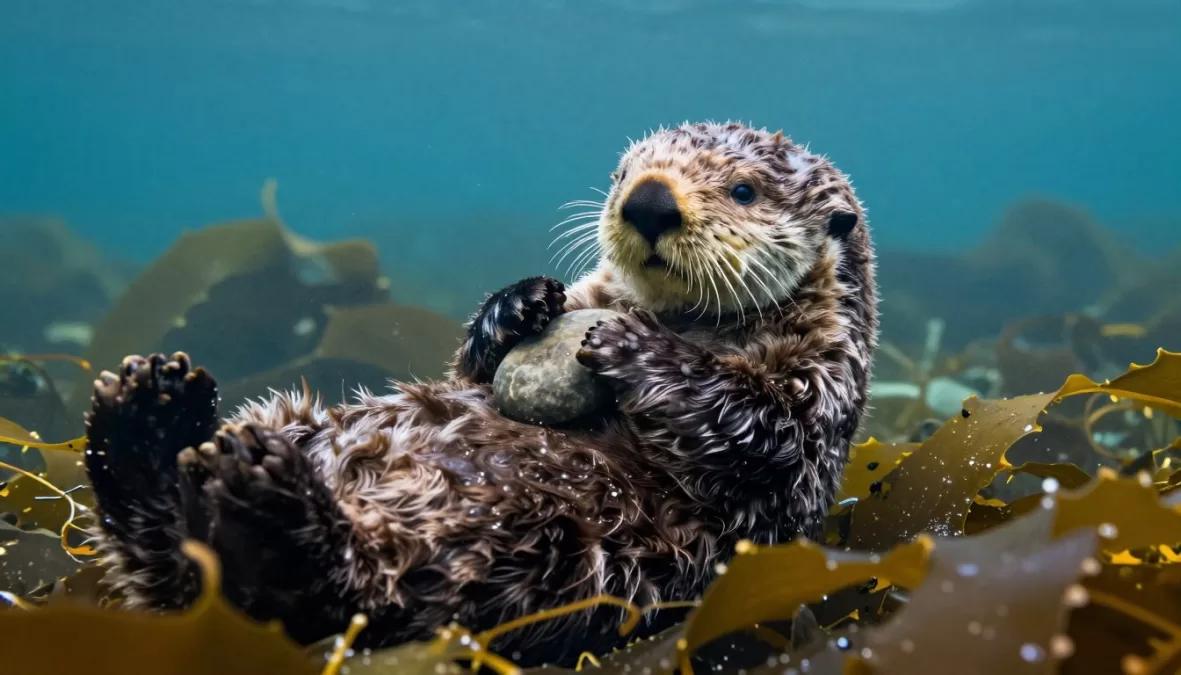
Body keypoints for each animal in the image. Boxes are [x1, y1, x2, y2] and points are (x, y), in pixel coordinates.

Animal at [81, 121, 877, 668]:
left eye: (743, 189)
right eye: (623, 172)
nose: (648, 200)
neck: (693, 321)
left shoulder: (817, 402)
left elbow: (755, 428)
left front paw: (631, 346)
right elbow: (470, 370)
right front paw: (519, 304)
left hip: (498, 553)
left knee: (322, 594)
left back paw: (260, 496)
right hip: (291, 423)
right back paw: (149, 411)